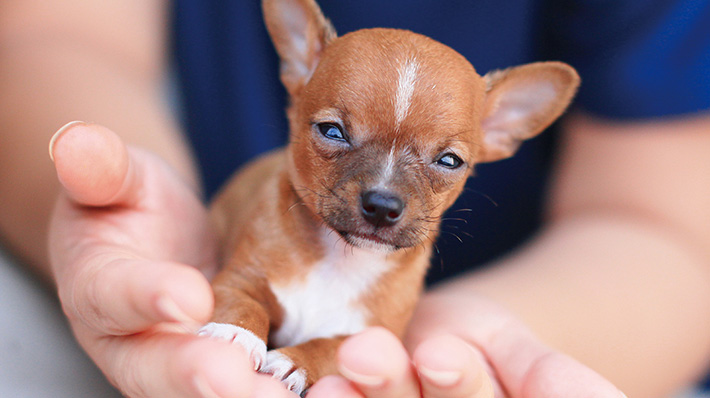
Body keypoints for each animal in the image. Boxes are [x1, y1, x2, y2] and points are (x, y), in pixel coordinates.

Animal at [197, 0, 580, 394]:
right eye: (331, 131)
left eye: (450, 161)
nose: (382, 206)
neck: (341, 261)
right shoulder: (239, 278)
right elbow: (243, 302)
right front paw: (234, 333)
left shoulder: (378, 335)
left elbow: (331, 349)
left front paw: (296, 362)